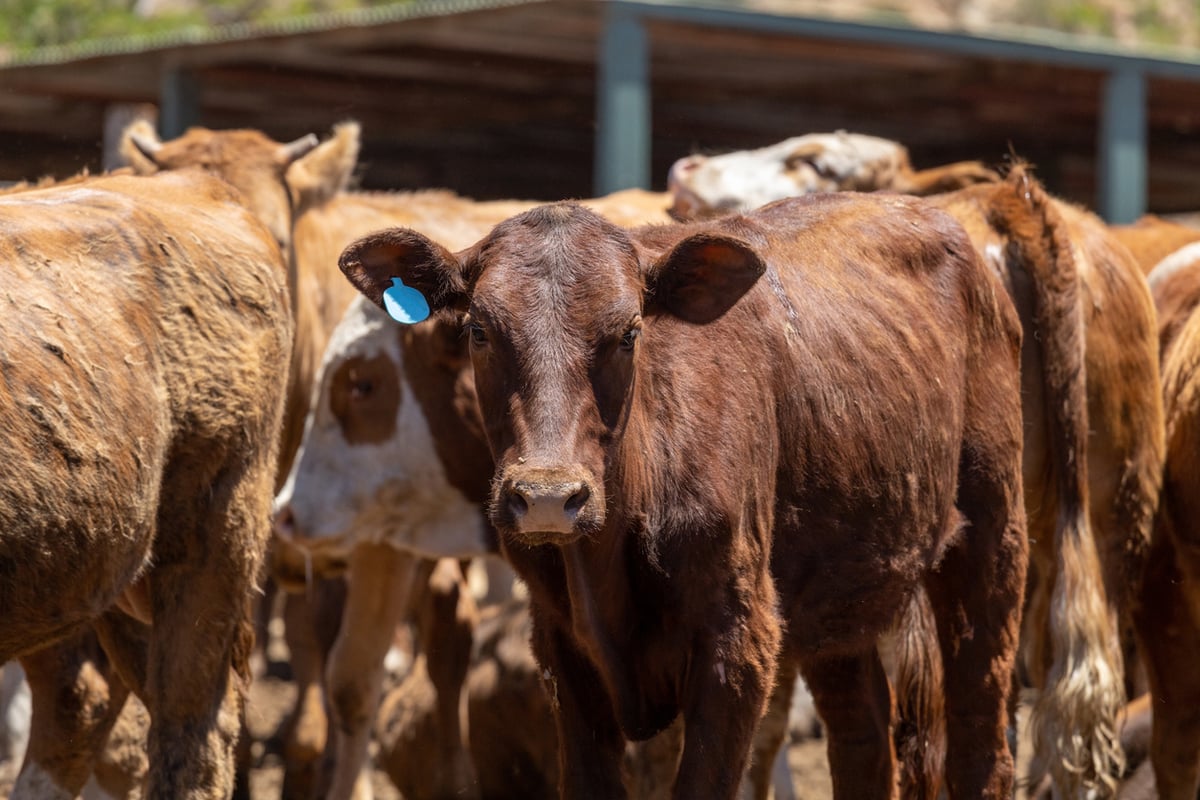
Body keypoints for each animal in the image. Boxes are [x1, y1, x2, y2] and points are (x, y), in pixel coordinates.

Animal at [340, 194, 1032, 800]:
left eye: (628, 332)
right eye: (479, 331)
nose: (547, 496)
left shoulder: (739, 640)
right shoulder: (561, 648)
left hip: (994, 538)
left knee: (980, 744)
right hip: (842, 596)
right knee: (863, 741)